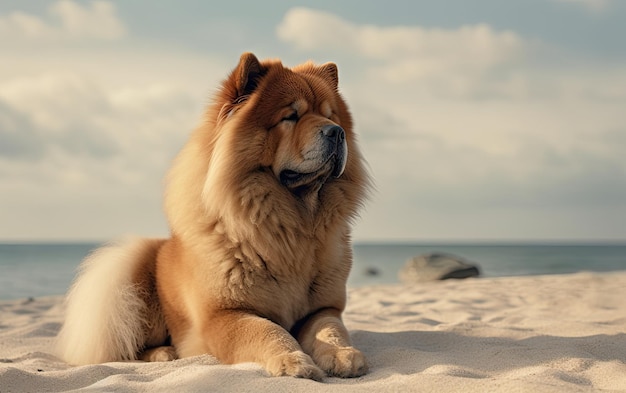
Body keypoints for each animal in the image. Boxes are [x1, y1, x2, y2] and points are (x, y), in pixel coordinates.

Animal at [56, 52, 368, 380]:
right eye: (291, 117)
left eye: (331, 117)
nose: (336, 132)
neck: (291, 226)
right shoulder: (225, 314)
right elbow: (268, 331)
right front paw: (292, 361)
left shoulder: (323, 308)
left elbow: (330, 330)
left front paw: (343, 355)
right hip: (133, 293)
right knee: (132, 345)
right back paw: (164, 353)